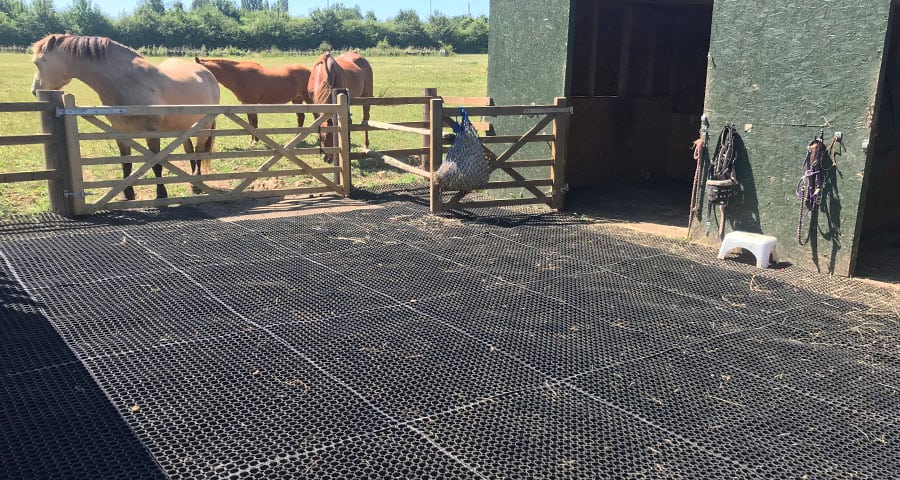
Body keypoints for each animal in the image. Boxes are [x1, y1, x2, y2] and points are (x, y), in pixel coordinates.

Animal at [30, 33, 221, 199]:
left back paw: (196, 185)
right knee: (190, 151)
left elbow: (156, 165)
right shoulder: (120, 132)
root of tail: (207, 73)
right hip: (185, 127)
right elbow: (126, 163)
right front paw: (127, 194)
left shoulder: (152, 133)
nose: (34, 90)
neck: (128, 82)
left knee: (199, 152)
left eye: (38, 62)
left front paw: (161, 194)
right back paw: (192, 181)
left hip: (204, 127)